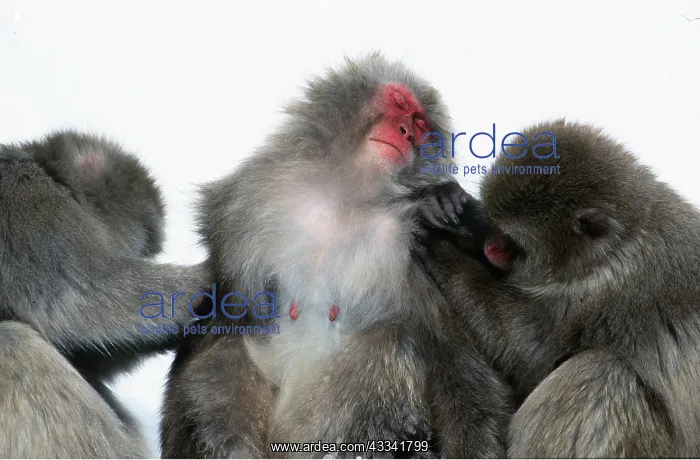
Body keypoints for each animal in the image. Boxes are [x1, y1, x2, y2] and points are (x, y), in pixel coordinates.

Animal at [0, 130, 210, 457]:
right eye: (144, 247)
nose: (143, 253)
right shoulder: (26, 203)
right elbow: (88, 301)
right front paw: (210, 275)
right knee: (13, 343)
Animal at [160, 53, 514, 459]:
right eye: (400, 105)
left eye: (422, 125)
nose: (406, 133)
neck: (347, 203)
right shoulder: (248, 207)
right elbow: (224, 316)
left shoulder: (418, 247)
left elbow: (458, 361)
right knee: (227, 353)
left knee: (389, 341)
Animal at [418, 118, 700, 457]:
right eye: (494, 224)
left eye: (513, 242)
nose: (490, 246)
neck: (617, 246)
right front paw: (453, 206)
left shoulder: (610, 294)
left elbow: (530, 355)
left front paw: (441, 250)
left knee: (602, 372)